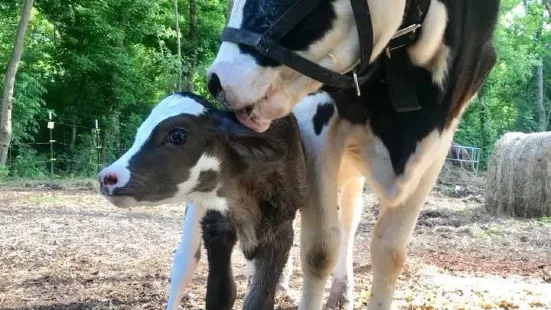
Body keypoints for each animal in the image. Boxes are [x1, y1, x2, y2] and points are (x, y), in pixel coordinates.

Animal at [98, 92, 306, 310]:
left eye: (178, 135)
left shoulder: (280, 230)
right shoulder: (215, 226)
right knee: (184, 262)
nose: (107, 177)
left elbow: (259, 300)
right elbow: (221, 292)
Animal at [199, 0, 500, 310]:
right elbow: (319, 251)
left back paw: (340, 291)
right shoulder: (315, 119)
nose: (217, 80)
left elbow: (390, 253)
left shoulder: (439, 141)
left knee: (349, 215)